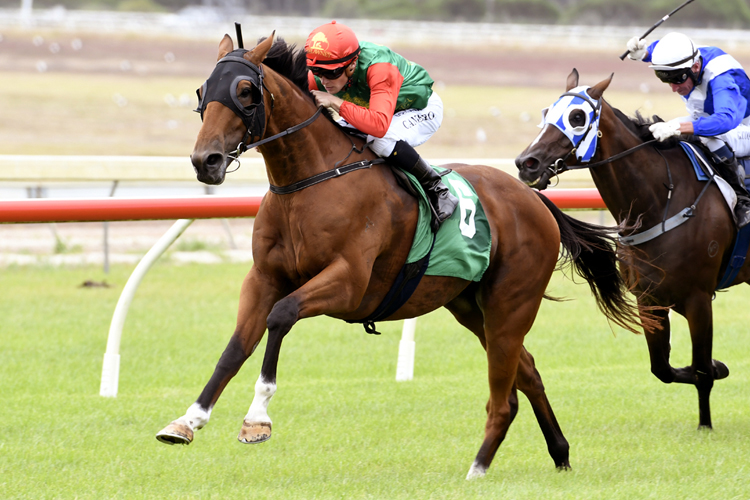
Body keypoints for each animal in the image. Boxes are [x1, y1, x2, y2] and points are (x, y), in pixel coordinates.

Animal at [154, 35, 648, 476]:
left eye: (245, 91)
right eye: (203, 90)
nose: (206, 161)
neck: (310, 181)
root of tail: (534, 199)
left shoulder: (348, 283)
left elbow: (281, 316)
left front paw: (257, 420)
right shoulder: (263, 278)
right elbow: (236, 346)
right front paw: (188, 420)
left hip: (511, 305)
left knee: (504, 393)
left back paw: (478, 469)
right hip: (470, 306)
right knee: (526, 372)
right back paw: (559, 454)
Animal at [516, 69, 740, 430]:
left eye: (577, 117)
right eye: (546, 112)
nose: (527, 163)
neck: (659, 202)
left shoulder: (699, 298)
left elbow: (703, 370)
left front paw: (705, 423)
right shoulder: (648, 298)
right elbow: (663, 368)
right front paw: (716, 368)